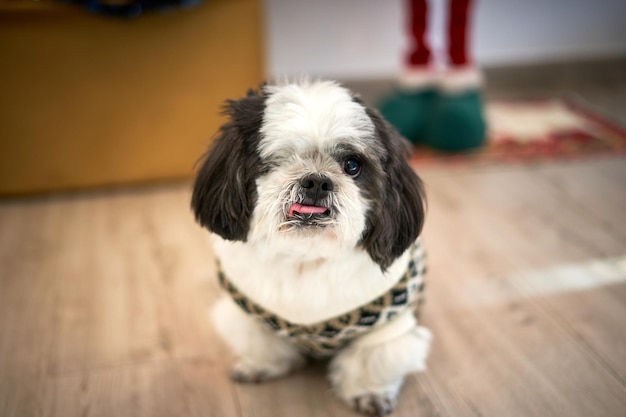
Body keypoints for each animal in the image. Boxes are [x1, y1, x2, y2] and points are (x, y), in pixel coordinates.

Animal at [193, 79, 432, 414]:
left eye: (352, 165)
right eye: (280, 159)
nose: (317, 181)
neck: (305, 257)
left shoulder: (386, 329)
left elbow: (373, 362)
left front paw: (369, 393)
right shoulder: (249, 315)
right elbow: (261, 342)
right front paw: (259, 365)